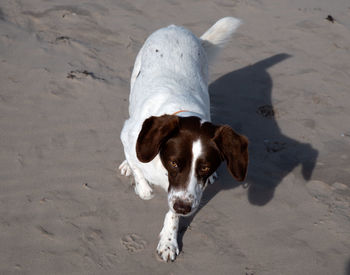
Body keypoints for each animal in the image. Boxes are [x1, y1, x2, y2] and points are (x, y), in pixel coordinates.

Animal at [120, 17, 249, 264]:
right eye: (174, 163)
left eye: (205, 167)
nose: (184, 207)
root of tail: (174, 28)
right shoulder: (128, 134)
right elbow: (140, 173)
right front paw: (143, 187)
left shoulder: (183, 193)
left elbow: (173, 213)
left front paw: (169, 241)